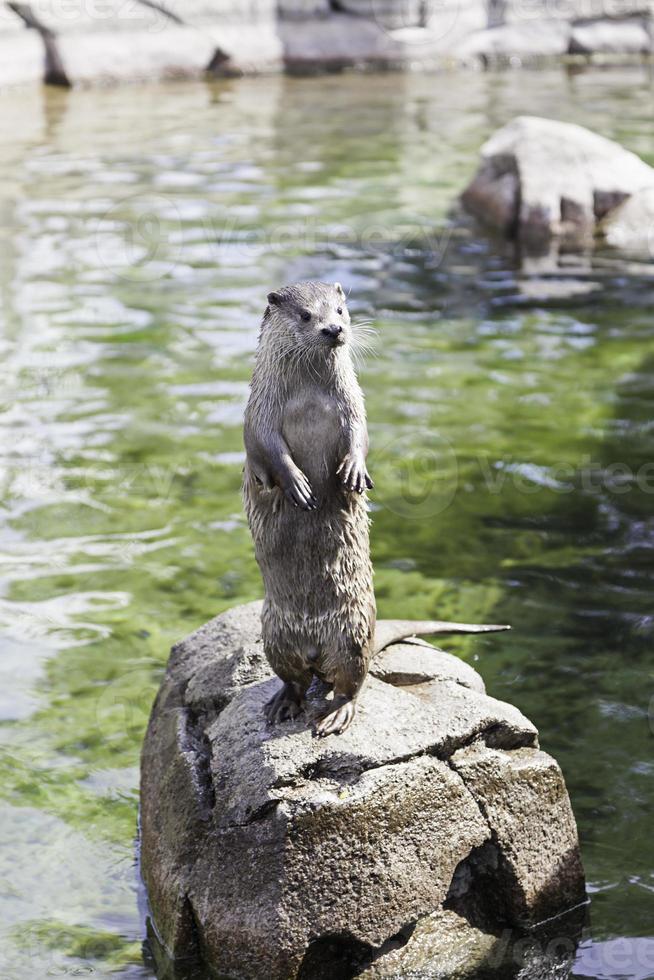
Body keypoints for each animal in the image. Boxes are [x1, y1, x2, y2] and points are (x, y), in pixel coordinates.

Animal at [242, 278, 376, 736]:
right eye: (305, 315)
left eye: (339, 309)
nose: (333, 330)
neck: (309, 402)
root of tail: (317, 650)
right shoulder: (259, 413)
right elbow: (267, 447)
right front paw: (297, 484)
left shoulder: (353, 402)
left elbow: (359, 434)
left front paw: (353, 471)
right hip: (274, 635)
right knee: (295, 680)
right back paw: (284, 702)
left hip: (353, 632)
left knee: (352, 682)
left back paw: (337, 714)